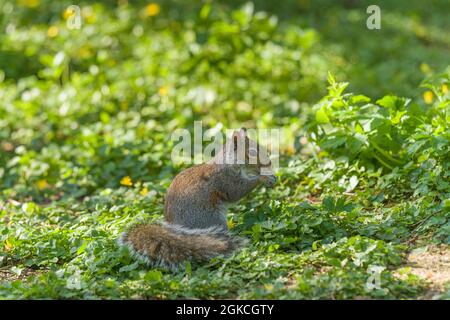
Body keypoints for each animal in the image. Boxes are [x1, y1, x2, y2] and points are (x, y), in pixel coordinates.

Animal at [118, 127, 276, 270]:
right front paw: (263, 178)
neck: (230, 164)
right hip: (211, 218)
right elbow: (236, 192)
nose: (269, 163)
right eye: (252, 153)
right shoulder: (225, 180)